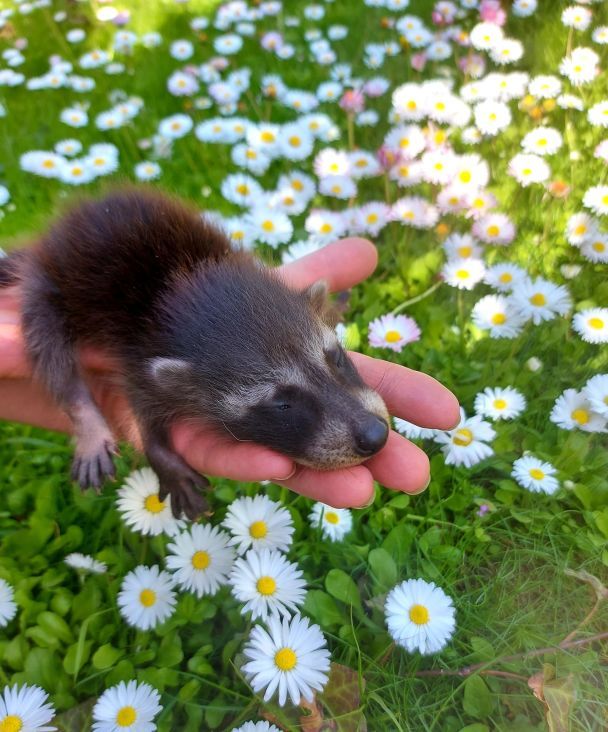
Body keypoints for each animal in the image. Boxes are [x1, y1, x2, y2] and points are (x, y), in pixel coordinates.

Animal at [0, 189, 390, 520]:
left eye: (334, 357)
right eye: (282, 403)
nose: (375, 435)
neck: (184, 283)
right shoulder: (137, 356)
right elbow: (139, 415)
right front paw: (161, 455)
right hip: (48, 285)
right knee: (49, 348)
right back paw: (85, 415)